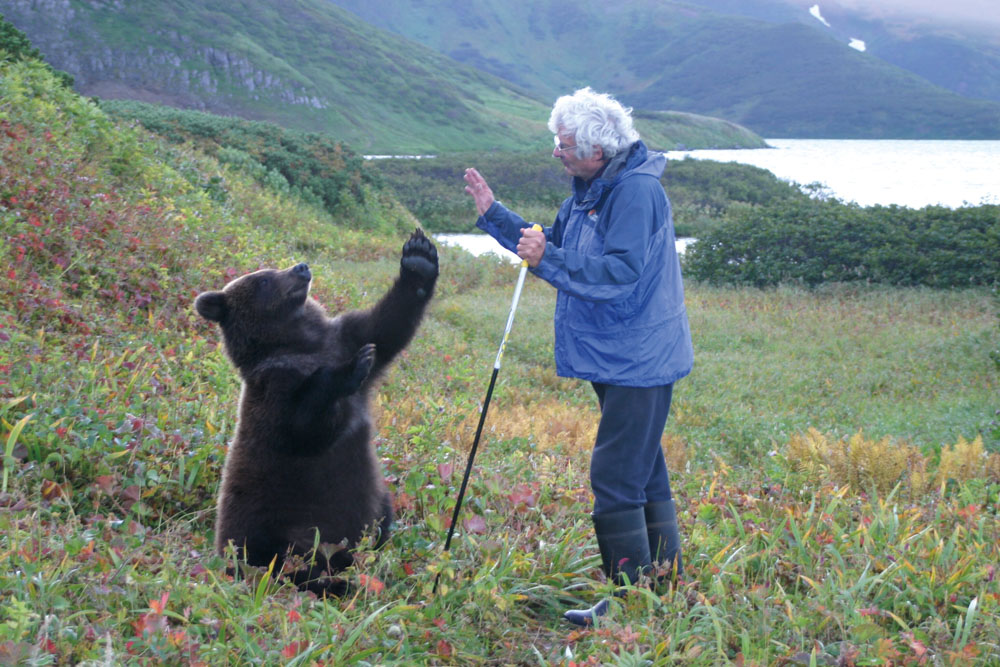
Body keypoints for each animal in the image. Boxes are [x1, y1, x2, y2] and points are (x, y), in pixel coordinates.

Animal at [195, 228, 438, 596]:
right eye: (264, 279)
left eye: (273, 268)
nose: (301, 267)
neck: (301, 343)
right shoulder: (275, 390)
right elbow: (306, 428)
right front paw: (349, 370)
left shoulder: (343, 336)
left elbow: (387, 327)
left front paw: (419, 259)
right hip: (279, 526)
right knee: (292, 560)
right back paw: (331, 582)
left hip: (378, 504)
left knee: (381, 516)